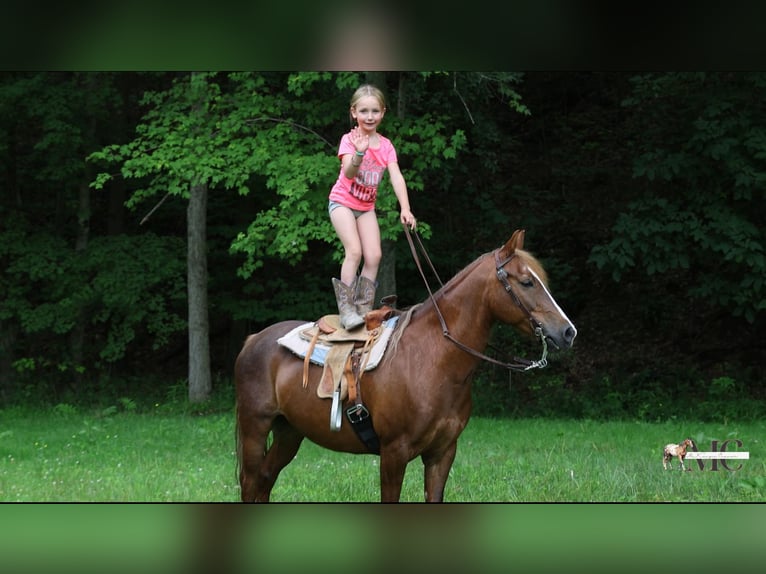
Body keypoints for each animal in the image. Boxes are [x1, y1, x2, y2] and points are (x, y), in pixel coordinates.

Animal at [235, 229, 577, 502]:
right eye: (526, 282)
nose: (568, 332)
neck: (433, 360)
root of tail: (253, 340)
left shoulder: (442, 453)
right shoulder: (393, 454)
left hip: (289, 432)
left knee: (264, 482)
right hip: (255, 427)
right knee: (251, 484)